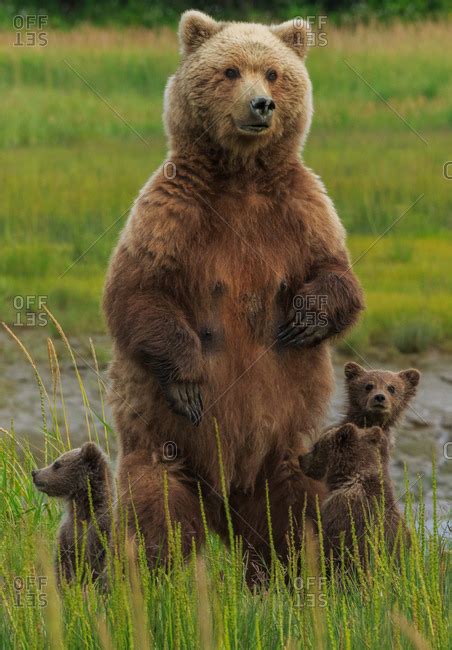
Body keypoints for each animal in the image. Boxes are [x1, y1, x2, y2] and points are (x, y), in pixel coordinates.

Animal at [103, 8, 364, 568]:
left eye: (273, 72)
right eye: (229, 71)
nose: (261, 104)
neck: (241, 176)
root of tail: (223, 498)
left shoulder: (303, 210)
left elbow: (339, 276)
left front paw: (302, 320)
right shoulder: (171, 211)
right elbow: (137, 293)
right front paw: (188, 380)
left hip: (285, 454)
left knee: (295, 517)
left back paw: (298, 571)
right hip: (163, 447)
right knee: (155, 510)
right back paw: (159, 574)